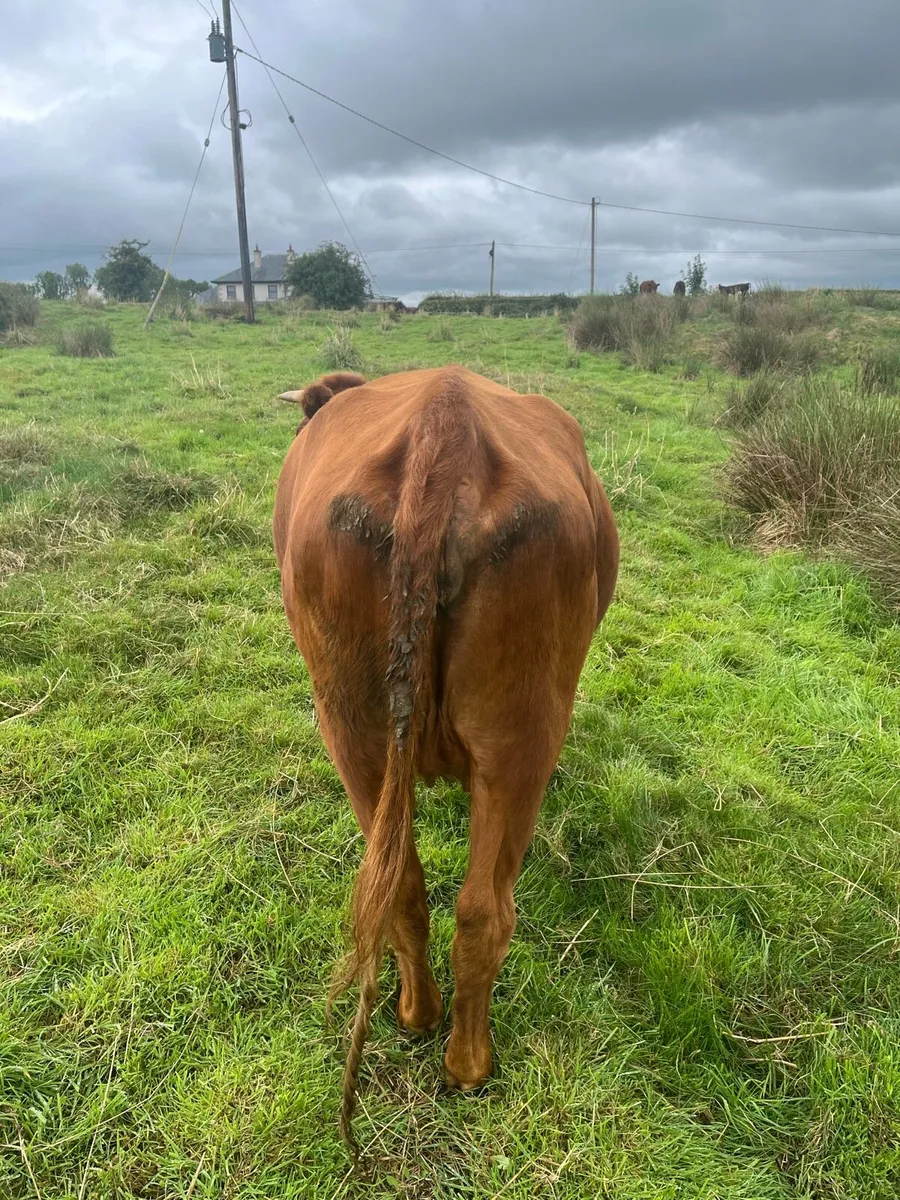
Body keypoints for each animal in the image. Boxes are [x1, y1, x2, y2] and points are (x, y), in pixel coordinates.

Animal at [274, 366, 619, 1155]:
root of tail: (446, 422)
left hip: (353, 727)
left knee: (406, 886)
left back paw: (421, 1020)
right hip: (522, 733)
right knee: (482, 909)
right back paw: (467, 1062)